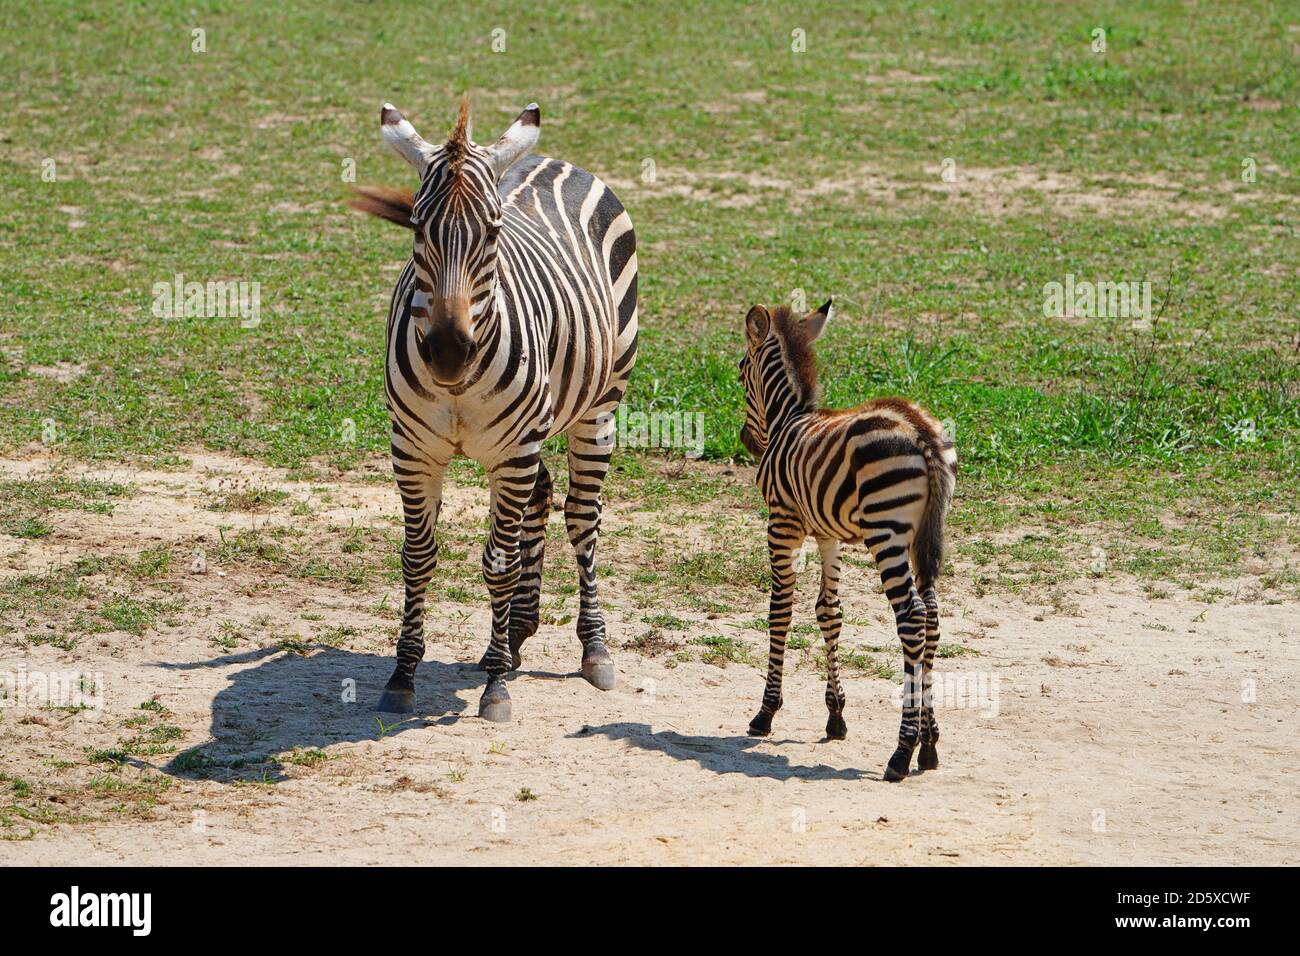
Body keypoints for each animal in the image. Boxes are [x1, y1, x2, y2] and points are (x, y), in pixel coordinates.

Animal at [351, 98, 639, 723]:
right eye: (417, 228)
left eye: (492, 231)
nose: (448, 352)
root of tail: (552, 160)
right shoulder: (413, 451)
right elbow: (417, 557)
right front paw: (403, 674)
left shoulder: (513, 454)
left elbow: (498, 563)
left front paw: (496, 687)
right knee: (544, 493)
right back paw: (516, 632)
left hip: (597, 409)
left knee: (582, 518)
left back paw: (593, 648)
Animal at [743, 300, 956, 785]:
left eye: (741, 371)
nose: (746, 443)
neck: (787, 419)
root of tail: (920, 429)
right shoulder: (827, 533)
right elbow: (829, 612)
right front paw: (836, 716)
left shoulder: (782, 522)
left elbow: (780, 611)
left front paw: (766, 712)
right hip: (921, 534)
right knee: (932, 618)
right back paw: (929, 745)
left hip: (886, 533)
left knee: (912, 617)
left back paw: (902, 752)